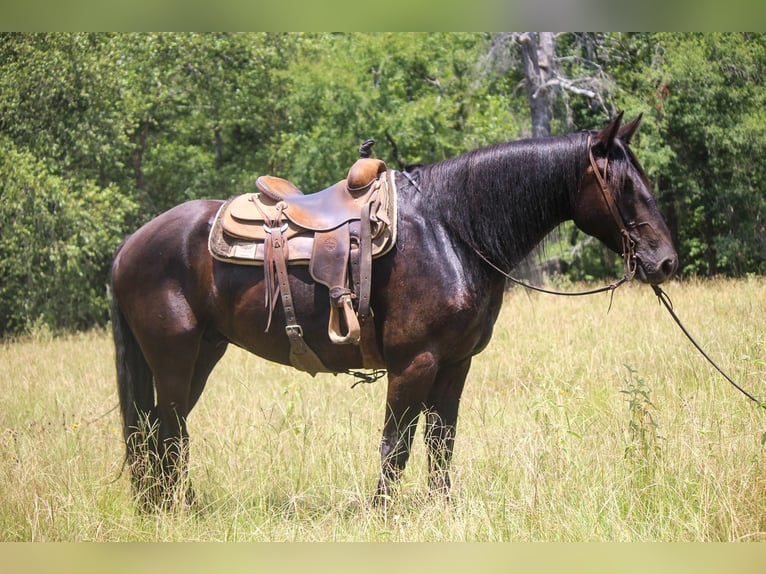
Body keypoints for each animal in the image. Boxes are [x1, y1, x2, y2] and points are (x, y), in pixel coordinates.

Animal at [112, 115, 680, 510]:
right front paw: (382, 516)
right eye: (626, 186)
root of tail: (129, 247)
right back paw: (176, 510)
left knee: (163, 432)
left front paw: (442, 510)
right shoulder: (415, 362)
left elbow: (441, 442)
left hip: (202, 354)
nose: (665, 261)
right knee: (166, 433)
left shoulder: (455, 364)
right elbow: (396, 446)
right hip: (174, 357)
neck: (452, 229)